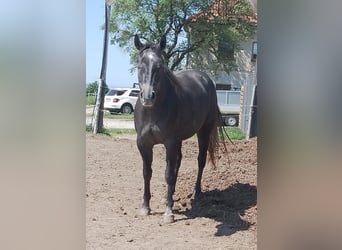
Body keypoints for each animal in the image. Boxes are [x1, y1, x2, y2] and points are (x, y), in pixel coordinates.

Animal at [134, 34, 227, 224]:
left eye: (160, 66)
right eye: (139, 66)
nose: (147, 97)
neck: (153, 110)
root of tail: (204, 79)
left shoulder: (170, 142)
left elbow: (168, 173)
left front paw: (168, 212)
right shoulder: (143, 144)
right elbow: (147, 173)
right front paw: (145, 207)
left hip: (203, 132)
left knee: (200, 160)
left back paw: (195, 192)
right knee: (179, 160)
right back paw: (169, 195)